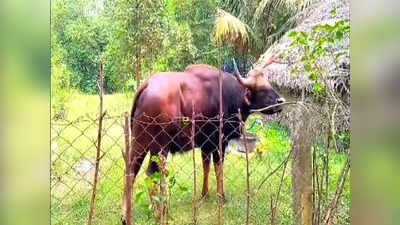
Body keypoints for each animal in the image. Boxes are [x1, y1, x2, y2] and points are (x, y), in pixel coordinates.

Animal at [129, 55, 284, 200]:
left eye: (270, 85)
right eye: (262, 89)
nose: (281, 101)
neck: (230, 95)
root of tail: (146, 86)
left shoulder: (206, 144)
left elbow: (206, 167)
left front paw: (205, 194)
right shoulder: (219, 142)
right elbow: (218, 167)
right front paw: (221, 195)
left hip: (139, 143)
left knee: (131, 171)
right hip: (159, 147)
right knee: (150, 174)